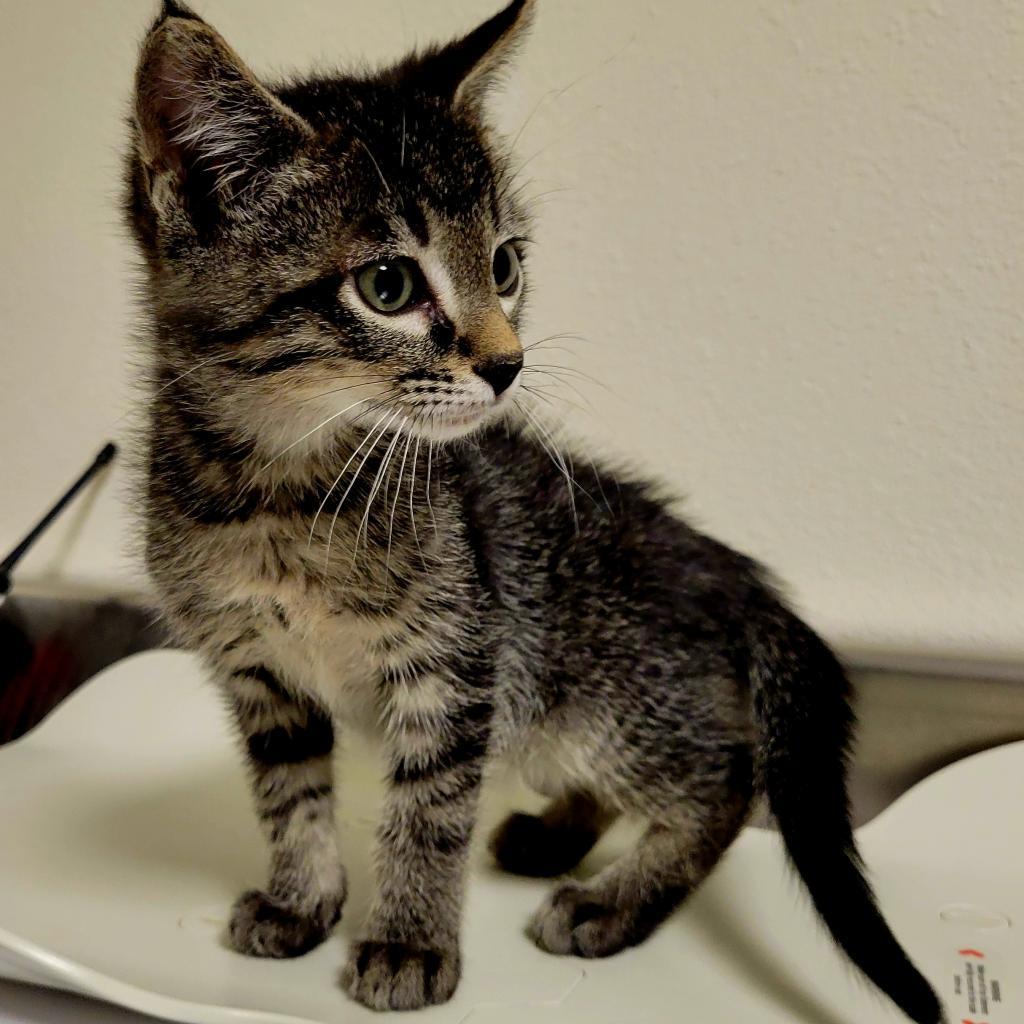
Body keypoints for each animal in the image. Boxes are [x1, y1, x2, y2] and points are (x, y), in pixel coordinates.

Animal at [125, 4, 942, 1019]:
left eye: (506, 265)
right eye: (389, 286)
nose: (507, 362)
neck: (281, 491)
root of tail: (729, 571)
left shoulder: (459, 659)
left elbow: (428, 812)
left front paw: (409, 943)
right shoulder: (261, 676)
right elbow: (292, 795)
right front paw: (301, 899)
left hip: (590, 698)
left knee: (725, 781)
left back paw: (612, 903)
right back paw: (555, 834)